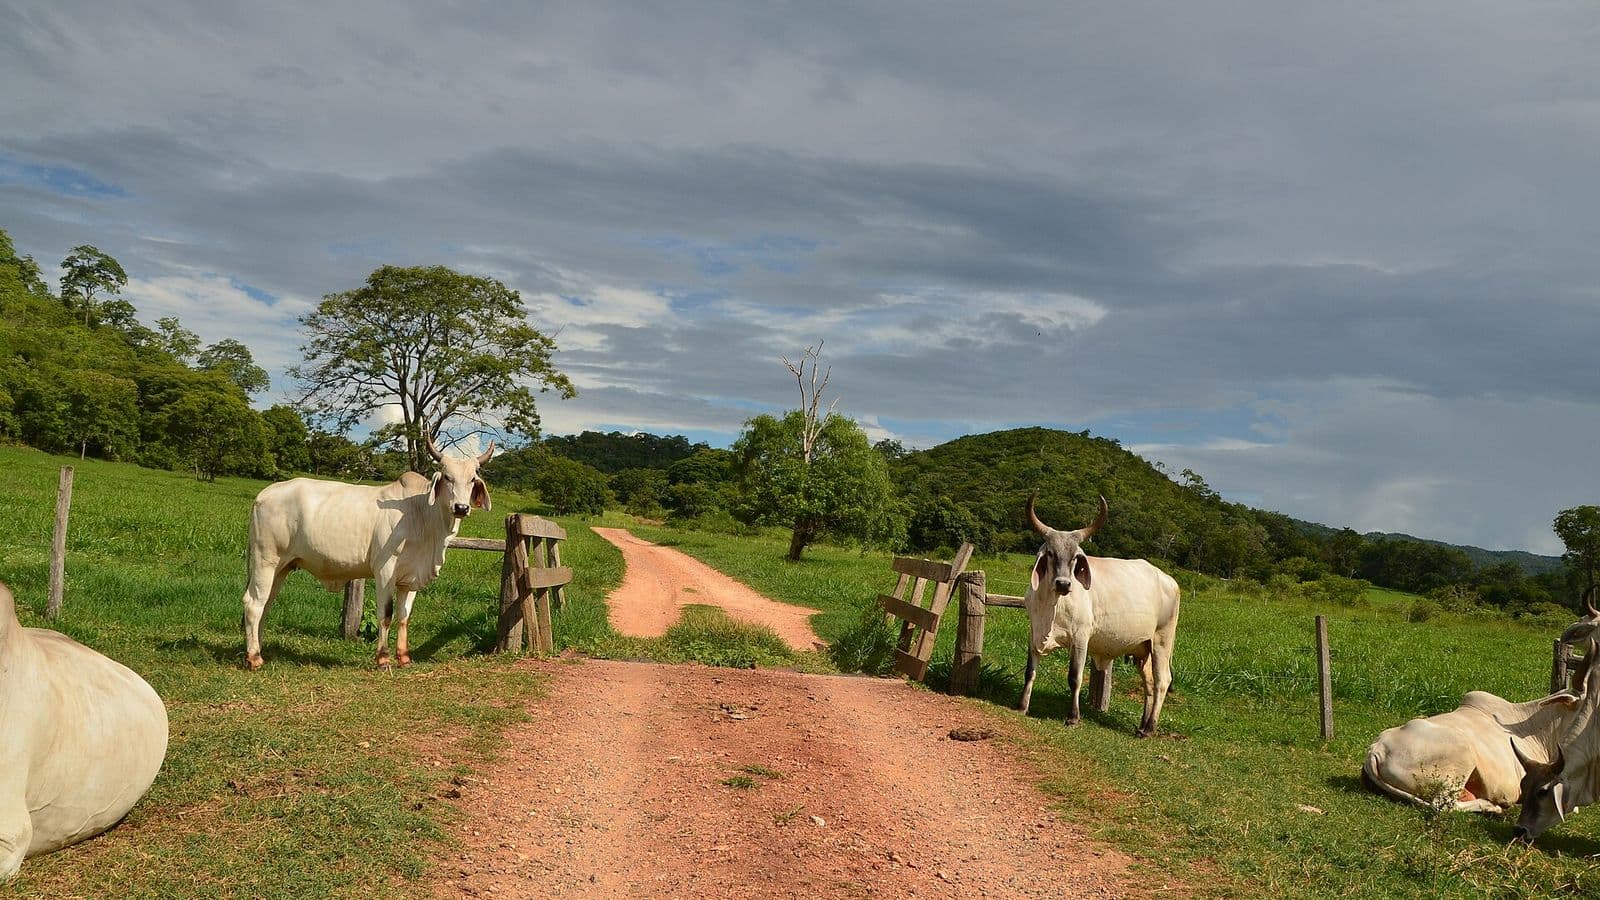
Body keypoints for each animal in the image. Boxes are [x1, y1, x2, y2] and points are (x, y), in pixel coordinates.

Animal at [241, 435, 494, 669]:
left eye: (472, 479)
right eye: (448, 477)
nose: (461, 507)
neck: (421, 515)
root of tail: (263, 495)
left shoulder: (410, 578)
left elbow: (404, 615)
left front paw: (404, 658)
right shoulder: (385, 570)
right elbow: (386, 613)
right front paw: (383, 659)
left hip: (282, 567)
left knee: (266, 603)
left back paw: (258, 649)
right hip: (266, 561)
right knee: (253, 603)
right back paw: (254, 658)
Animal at [1019, 495, 1182, 737]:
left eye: (1076, 557)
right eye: (1050, 553)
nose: (1063, 584)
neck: (1051, 606)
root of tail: (1170, 580)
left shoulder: (1080, 638)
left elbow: (1074, 677)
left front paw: (1073, 717)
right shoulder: (1034, 632)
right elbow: (1030, 671)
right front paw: (1022, 706)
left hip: (1162, 641)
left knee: (1162, 681)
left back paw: (1150, 728)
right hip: (1143, 649)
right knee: (1150, 684)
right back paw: (1142, 725)